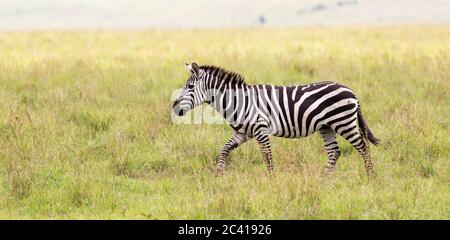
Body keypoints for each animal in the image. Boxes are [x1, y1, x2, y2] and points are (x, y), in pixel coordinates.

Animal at [172, 62, 380, 175]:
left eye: (190, 87)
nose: (175, 108)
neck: (238, 101)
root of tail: (351, 91)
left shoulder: (260, 130)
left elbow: (267, 157)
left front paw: (273, 180)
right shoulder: (242, 134)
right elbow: (224, 150)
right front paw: (219, 174)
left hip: (343, 122)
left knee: (362, 146)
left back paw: (371, 176)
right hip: (326, 126)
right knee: (334, 152)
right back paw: (323, 178)